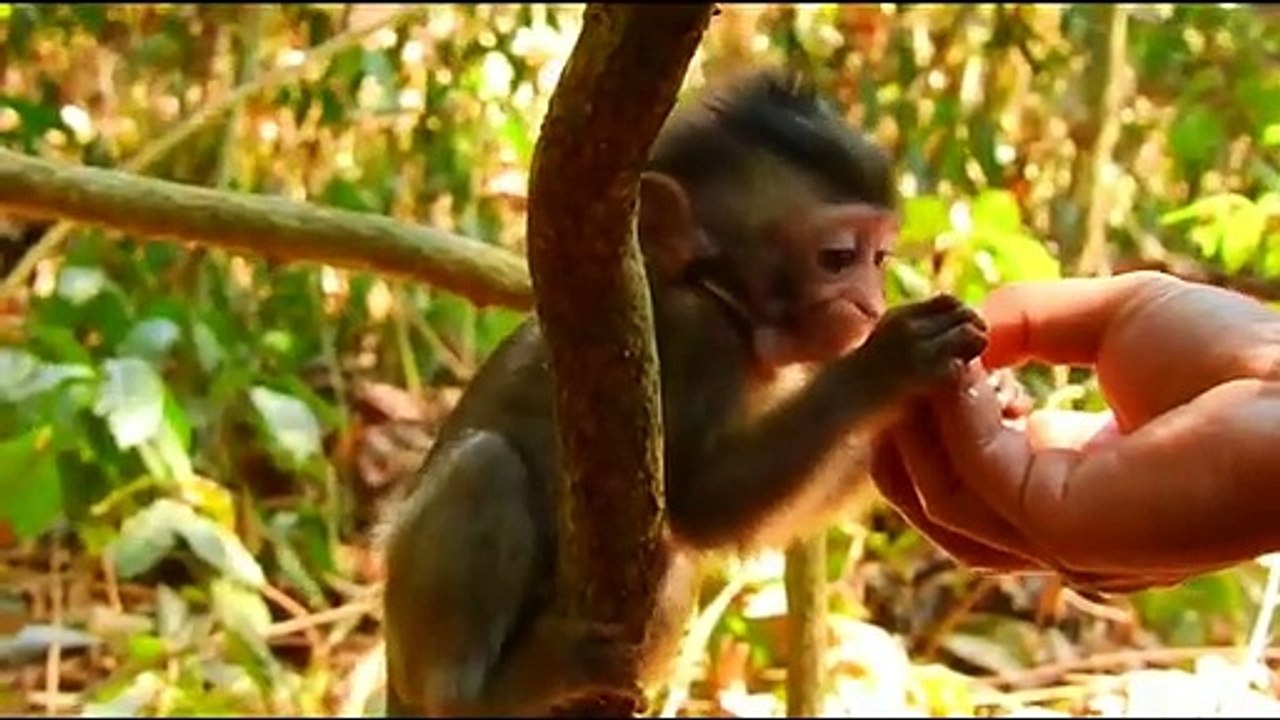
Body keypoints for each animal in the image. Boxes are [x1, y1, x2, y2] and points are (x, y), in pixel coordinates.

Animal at [379, 69, 989, 717]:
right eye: (839, 258)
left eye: (880, 258)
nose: (871, 305)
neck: (722, 299)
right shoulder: (695, 338)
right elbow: (699, 501)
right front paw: (892, 363)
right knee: (485, 464)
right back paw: (484, 693)